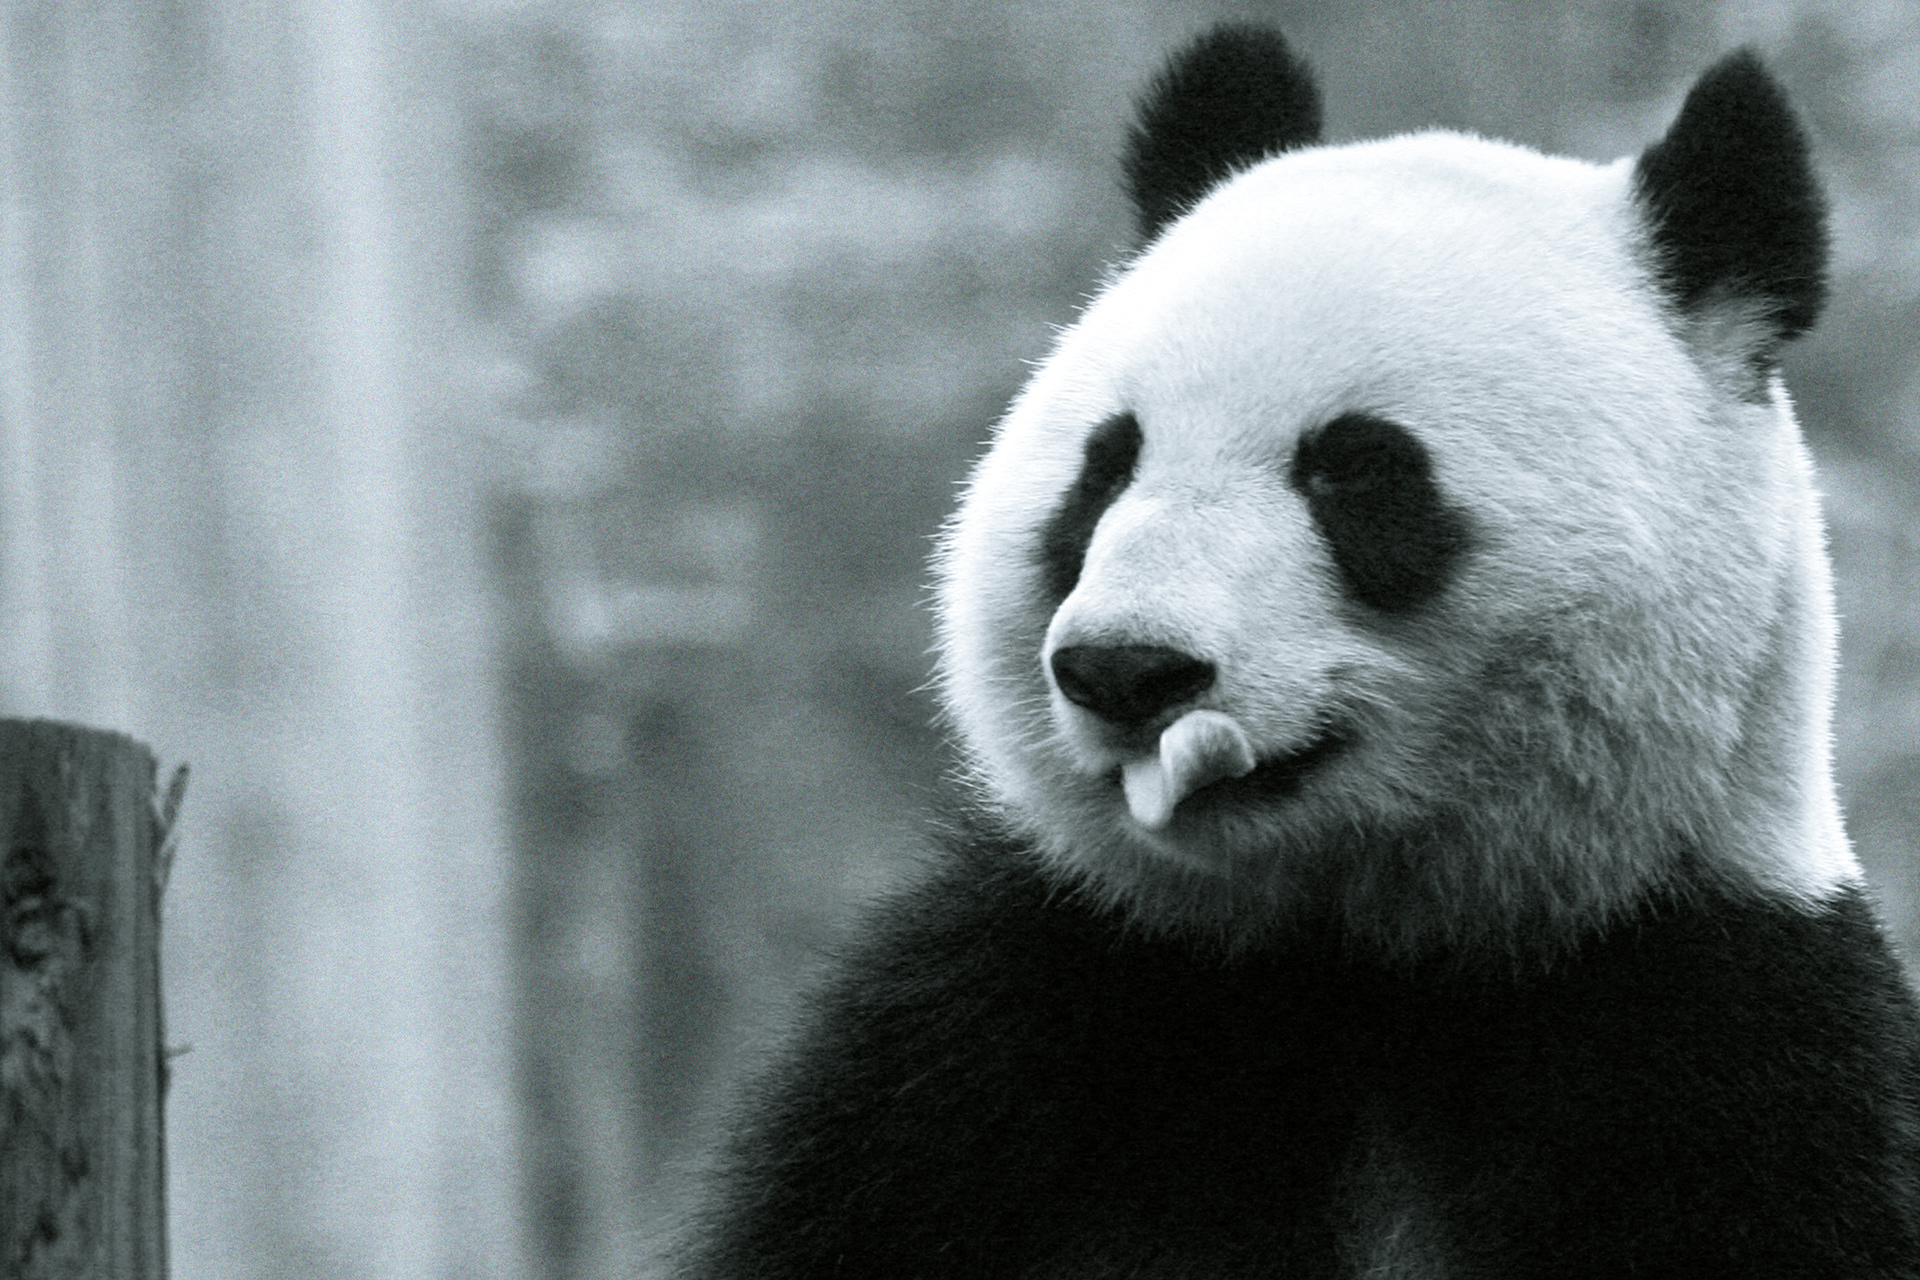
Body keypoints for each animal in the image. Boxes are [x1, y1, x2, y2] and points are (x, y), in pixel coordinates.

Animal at [676, 24, 1920, 1278]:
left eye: (1356, 469)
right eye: (1106, 465)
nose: (1128, 668)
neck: (1343, 955)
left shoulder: (1722, 1038)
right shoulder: (1001, 1033)